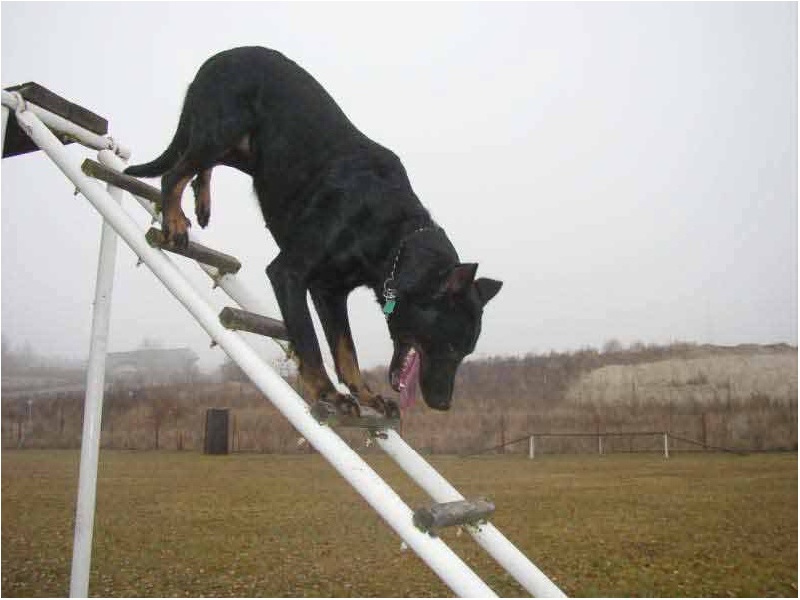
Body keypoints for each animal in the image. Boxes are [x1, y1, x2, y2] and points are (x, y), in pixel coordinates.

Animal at [125, 46, 502, 417]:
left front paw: (366, 396)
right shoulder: (289, 273)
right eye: (450, 347)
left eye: (466, 352)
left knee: (198, 166)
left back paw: (201, 200)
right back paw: (174, 218)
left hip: (245, 152)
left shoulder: (329, 292)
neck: (392, 237)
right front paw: (328, 394)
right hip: (223, 128)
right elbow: (309, 341)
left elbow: (346, 351)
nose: (443, 405)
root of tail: (216, 58)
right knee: (174, 173)